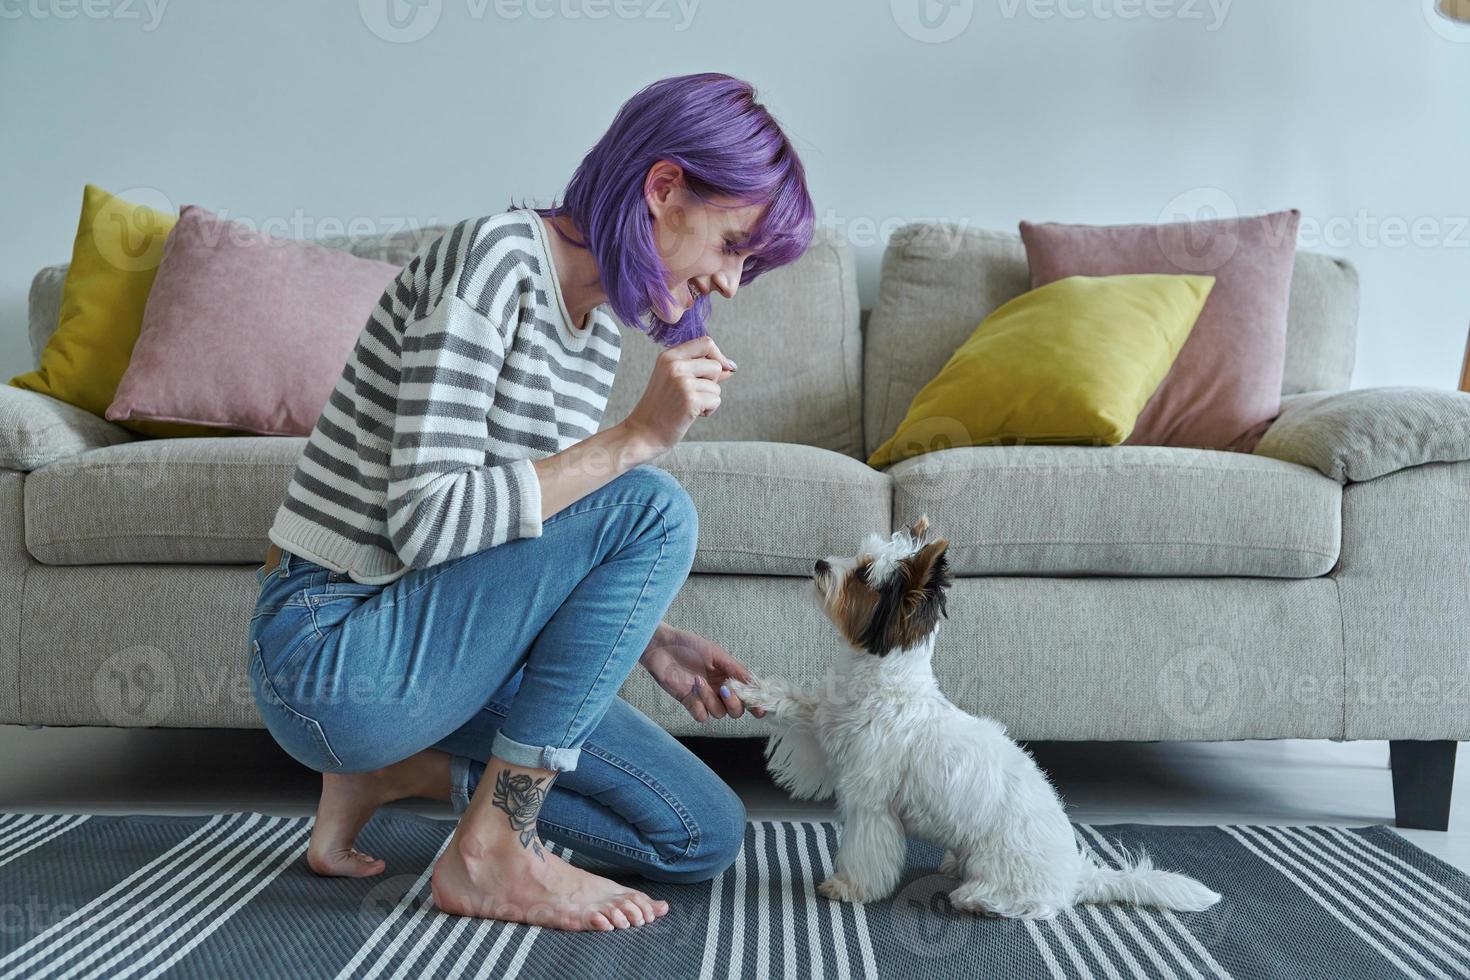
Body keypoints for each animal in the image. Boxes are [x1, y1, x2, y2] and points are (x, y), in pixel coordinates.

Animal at [729, 517, 1223, 922]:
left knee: (1036, 903)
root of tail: (1077, 874)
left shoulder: (870, 801)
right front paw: (749, 690)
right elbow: (798, 706)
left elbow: (866, 850)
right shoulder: (826, 723)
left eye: (864, 575)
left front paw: (849, 886)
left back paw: (976, 896)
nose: (819, 563)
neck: (886, 679)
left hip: (1008, 867)